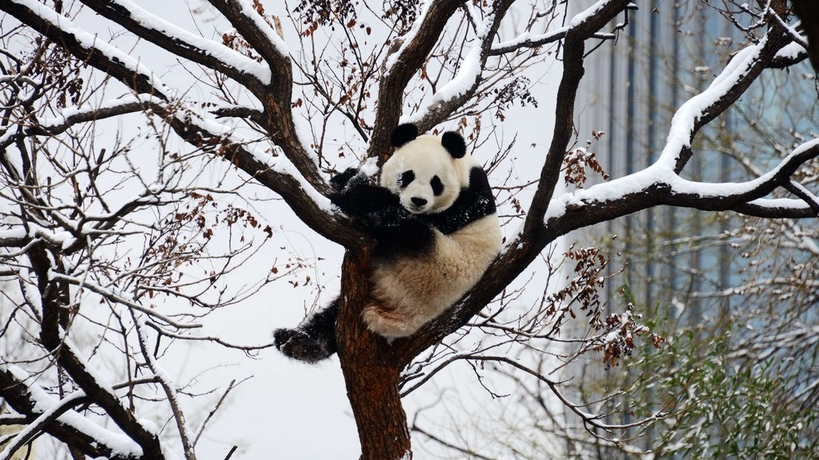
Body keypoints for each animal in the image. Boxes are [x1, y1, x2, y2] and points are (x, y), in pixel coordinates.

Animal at [276, 125, 502, 362]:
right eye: (407, 176)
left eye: (436, 182)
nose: (418, 201)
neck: (466, 172)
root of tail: (396, 319)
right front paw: (345, 178)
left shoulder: (465, 205)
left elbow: (402, 213)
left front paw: (355, 194)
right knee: (332, 314)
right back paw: (297, 341)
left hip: (431, 266)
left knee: (406, 228)